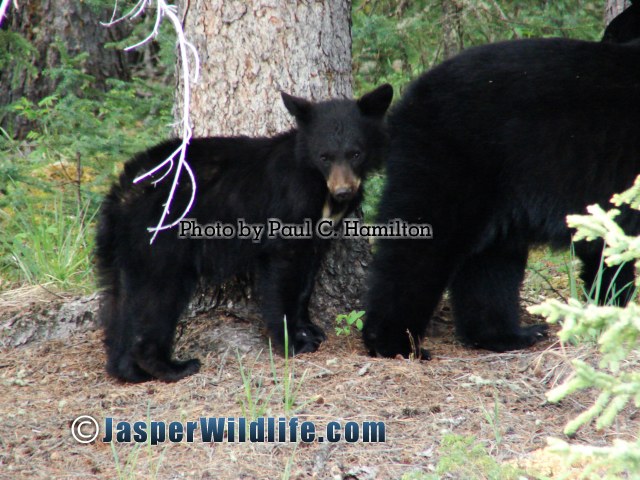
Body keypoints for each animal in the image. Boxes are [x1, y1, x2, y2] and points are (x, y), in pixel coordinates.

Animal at [96, 84, 393, 382]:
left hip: (121, 248)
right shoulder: (288, 208)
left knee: (119, 301)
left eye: (355, 153)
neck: (318, 183)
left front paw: (309, 328)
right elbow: (282, 275)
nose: (343, 192)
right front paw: (294, 342)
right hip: (161, 240)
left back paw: (127, 370)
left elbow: (306, 280)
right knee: (157, 298)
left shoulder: (318, 232)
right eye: (324, 156)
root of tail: (125, 191)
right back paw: (172, 366)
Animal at [363, 37, 640, 359]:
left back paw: (508, 335)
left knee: (490, 263)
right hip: (454, 160)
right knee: (421, 247)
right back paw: (395, 343)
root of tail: (410, 98)